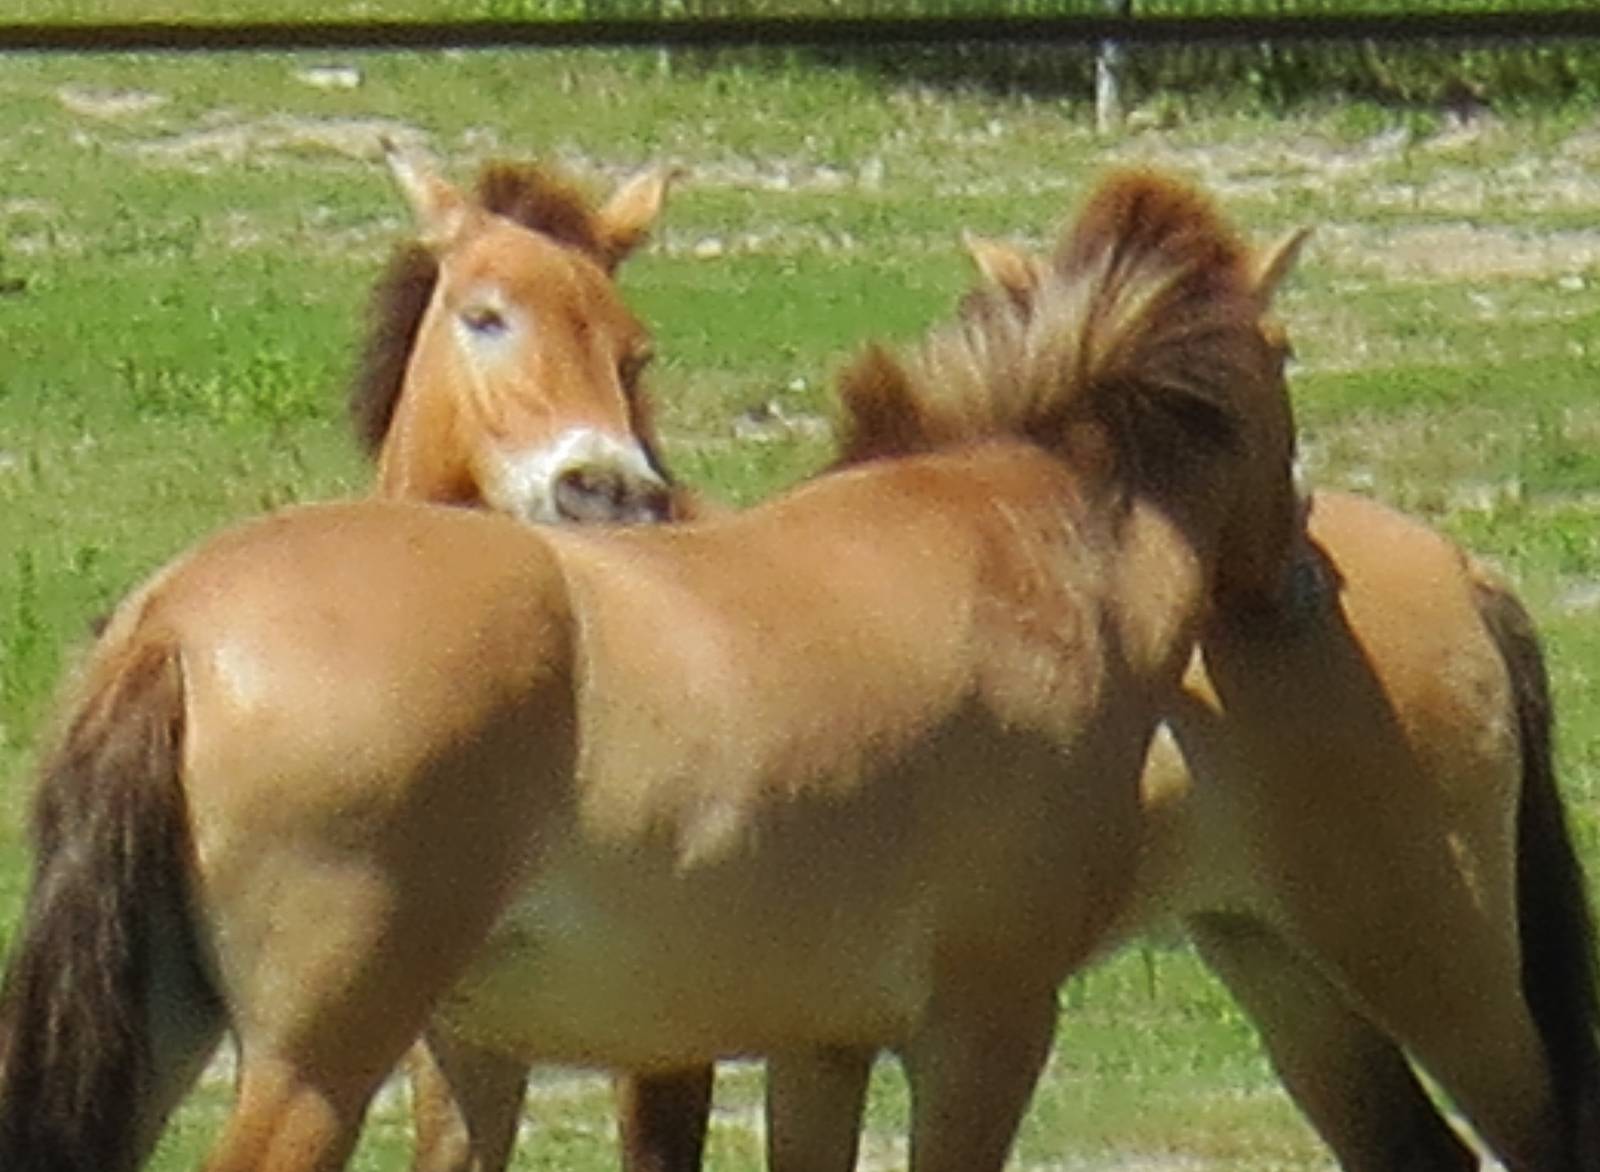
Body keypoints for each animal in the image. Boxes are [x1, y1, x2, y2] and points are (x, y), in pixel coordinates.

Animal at [0, 169, 1298, 1172]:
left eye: (630, 350)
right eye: (1286, 352)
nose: (1292, 572)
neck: (1024, 538)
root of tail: (174, 620)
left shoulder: (816, 1040)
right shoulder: (987, 1026)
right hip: (317, 1059)